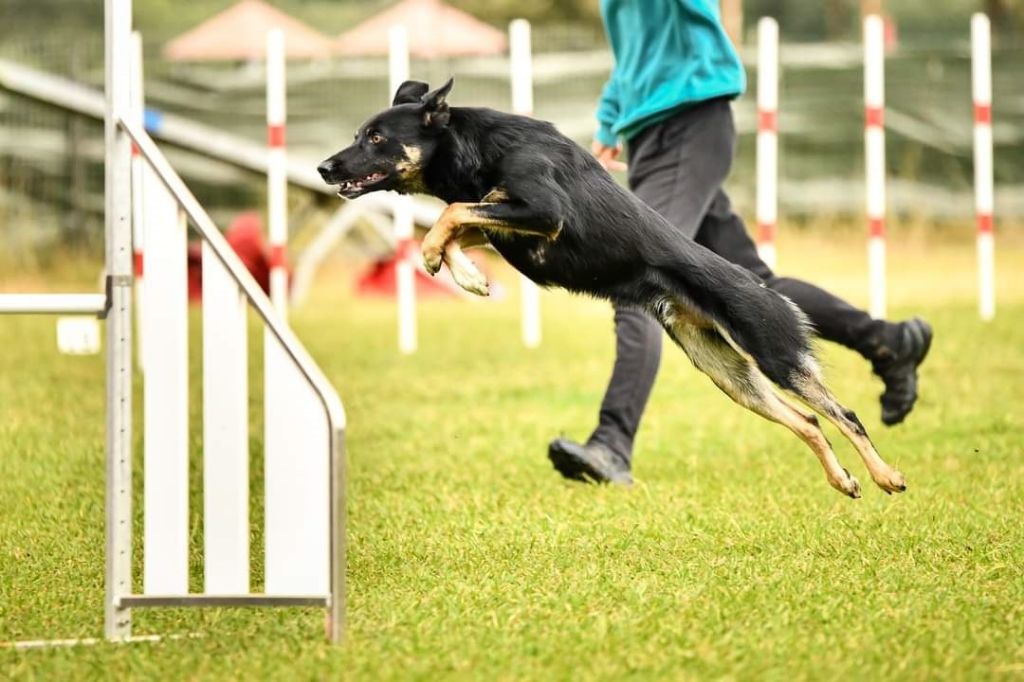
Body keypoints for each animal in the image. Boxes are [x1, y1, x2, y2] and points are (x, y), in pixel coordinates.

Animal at [317, 79, 905, 497]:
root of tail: (772, 294)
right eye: (357, 133)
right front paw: (466, 273)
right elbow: (458, 219)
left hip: (775, 356)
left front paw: (447, 263)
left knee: (845, 415)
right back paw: (843, 480)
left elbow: (454, 211)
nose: (323, 167)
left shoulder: (544, 212)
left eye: (375, 138)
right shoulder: (511, 221)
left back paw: (886, 475)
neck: (475, 145)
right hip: (728, 375)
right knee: (808, 422)